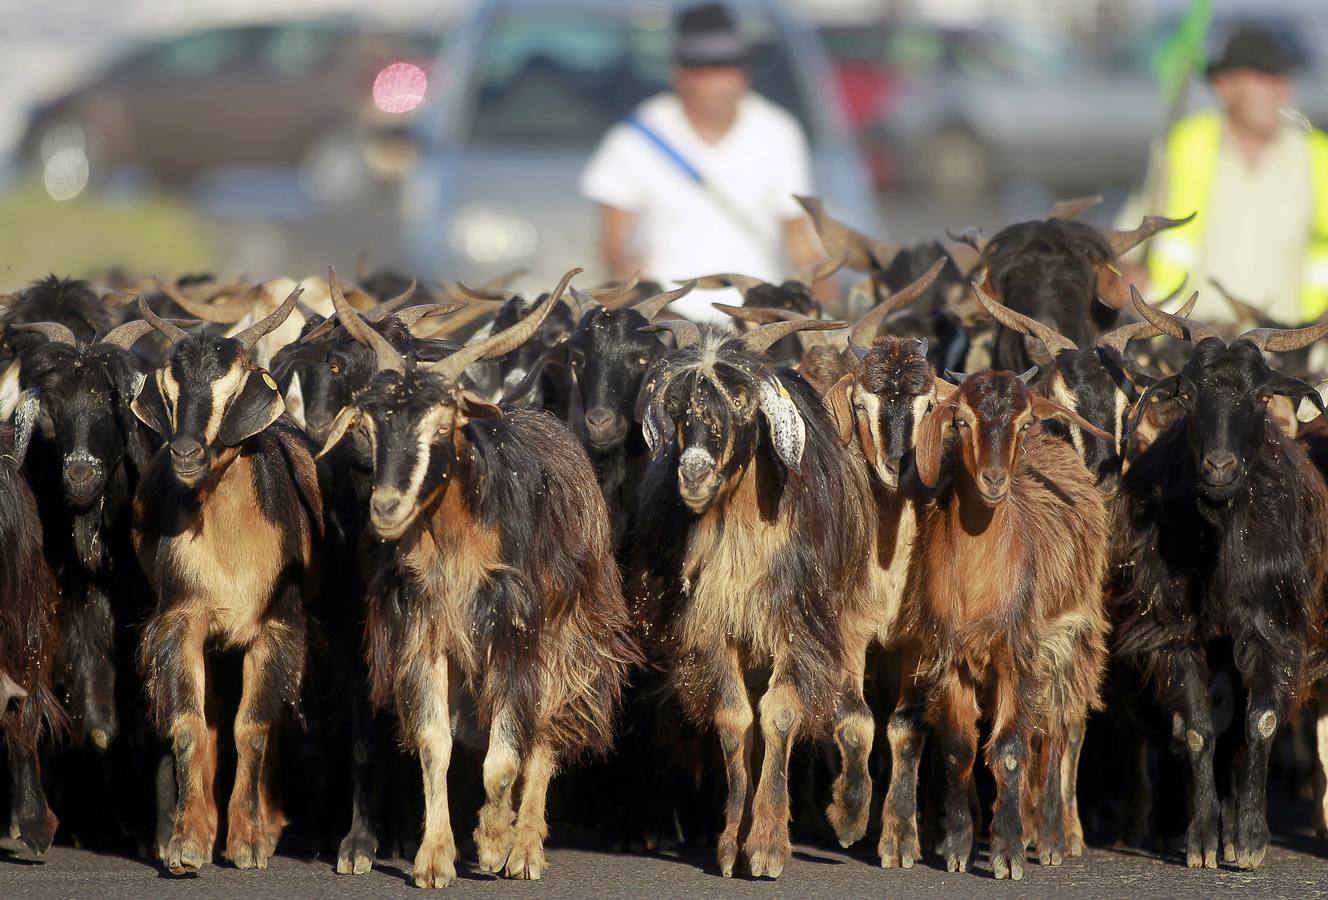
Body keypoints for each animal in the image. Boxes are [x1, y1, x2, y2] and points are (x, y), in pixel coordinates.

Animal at [130, 289, 322, 876]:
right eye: (171, 386)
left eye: (234, 385)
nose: (186, 452)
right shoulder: (180, 622)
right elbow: (192, 725)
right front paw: (187, 843)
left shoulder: (277, 628)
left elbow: (253, 727)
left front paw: (249, 841)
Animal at [316, 268, 637, 886]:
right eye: (370, 421)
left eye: (444, 425)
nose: (386, 507)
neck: (457, 540)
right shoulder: (422, 629)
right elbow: (434, 743)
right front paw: (434, 859)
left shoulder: (516, 629)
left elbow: (506, 756)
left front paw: (492, 842)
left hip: (570, 636)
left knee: (544, 735)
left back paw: (525, 847)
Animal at [629, 313, 876, 876]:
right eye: (677, 405)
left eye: (742, 400)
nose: (693, 473)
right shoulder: (710, 629)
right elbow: (735, 720)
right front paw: (730, 844)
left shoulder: (798, 626)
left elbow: (780, 714)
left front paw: (765, 846)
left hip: (848, 618)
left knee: (856, 717)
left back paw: (851, 814)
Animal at [903, 369, 1110, 881]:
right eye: (960, 419)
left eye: (1022, 422)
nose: (993, 480)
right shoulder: (949, 654)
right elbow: (960, 749)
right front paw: (958, 847)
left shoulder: (1019, 651)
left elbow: (1012, 751)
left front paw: (1009, 851)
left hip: (1069, 643)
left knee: (1056, 732)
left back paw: (1052, 838)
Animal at [1104, 297, 1328, 876]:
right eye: (1186, 392)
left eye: (1263, 394)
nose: (1220, 467)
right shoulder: (1173, 634)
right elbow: (1198, 729)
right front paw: (1203, 839)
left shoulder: (1274, 627)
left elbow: (1262, 721)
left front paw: (1248, 840)